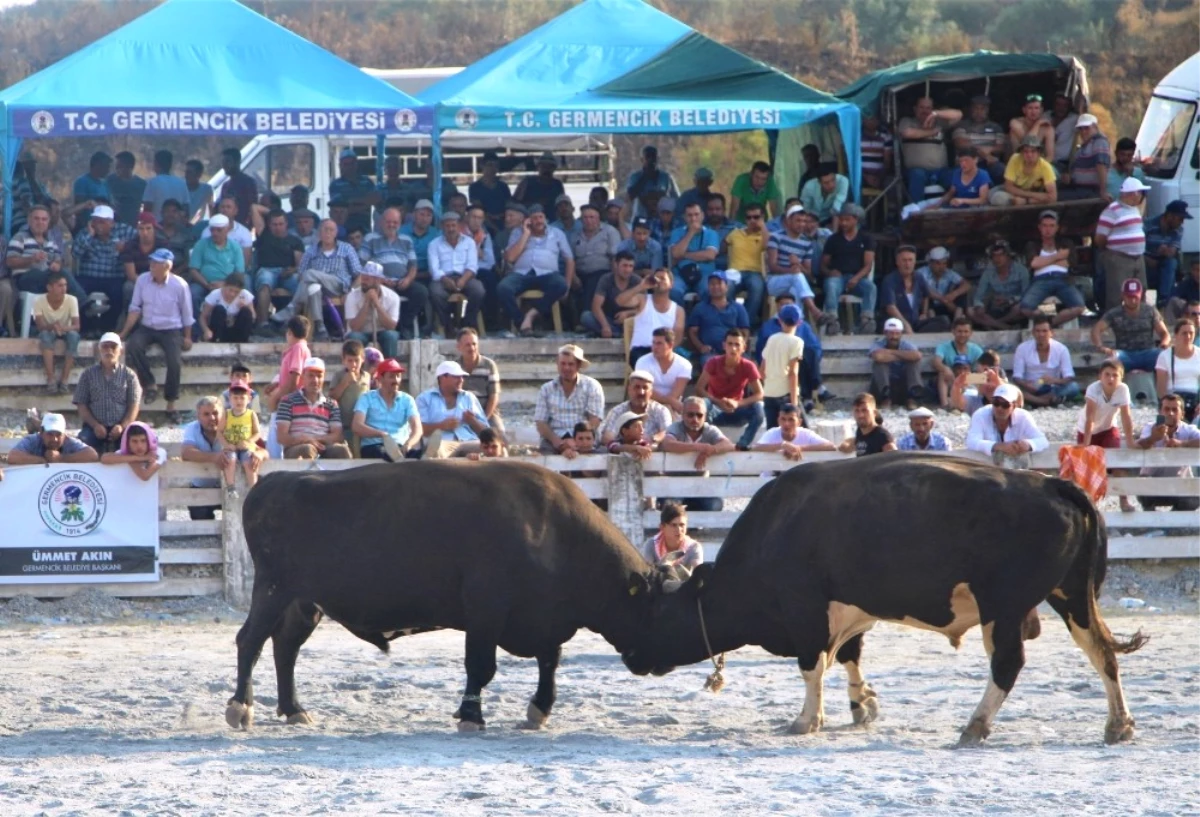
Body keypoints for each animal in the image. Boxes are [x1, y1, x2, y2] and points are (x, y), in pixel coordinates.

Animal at [225, 458, 657, 734]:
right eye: (665, 607)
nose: (658, 663)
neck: (552, 528)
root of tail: (272, 482)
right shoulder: (486, 613)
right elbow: (481, 667)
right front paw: (471, 717)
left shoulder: (545, 622)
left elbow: (549, 662)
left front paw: (537, 711)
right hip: (273, 590)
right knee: (251, 641)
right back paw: (240, 709)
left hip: (303, 603)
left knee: (285, 647)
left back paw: (294, 710)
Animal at [624, 453, 1147, 743]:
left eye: (658, 614)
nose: (630, 656)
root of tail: (1052, 483)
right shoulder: (850, 611)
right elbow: (849, 656)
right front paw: (862, 705)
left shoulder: (804, 609)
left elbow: (813, 665)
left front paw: (806, 719)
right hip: (1072, 596)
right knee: (1102, 652)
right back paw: (1118, 724)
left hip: (1005, 606)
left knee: (1008, 664)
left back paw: (975, 725)